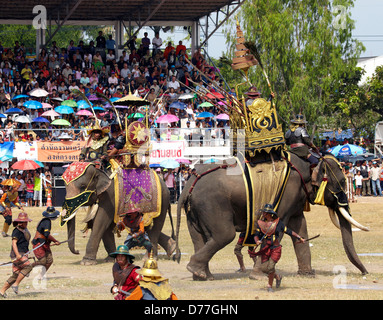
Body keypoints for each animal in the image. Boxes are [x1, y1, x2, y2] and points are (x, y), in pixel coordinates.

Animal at [176, 152, 370, 280]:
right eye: (342, 181)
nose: (365, 273)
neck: (306, 164)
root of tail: (190, 182)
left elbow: (300, 226)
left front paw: (308, 275)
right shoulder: (288, 192)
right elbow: (276, 226)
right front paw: (260, 275)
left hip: (194, 210)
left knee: (199, 238)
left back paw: (202, 275)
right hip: (212, 204)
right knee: (224, 235)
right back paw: (197, 271)